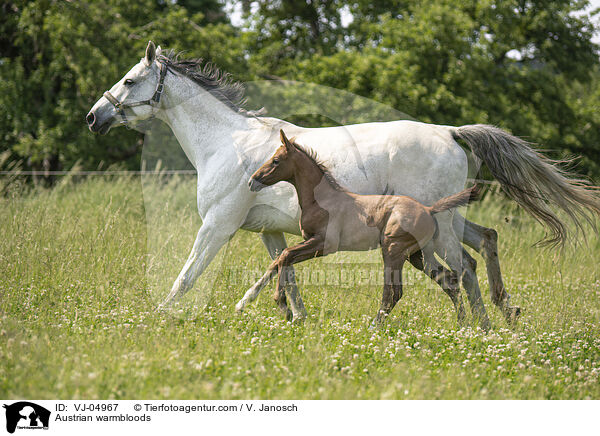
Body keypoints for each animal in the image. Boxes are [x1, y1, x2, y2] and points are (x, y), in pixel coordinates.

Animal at [239, 129, 478, 324]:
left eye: (276, 160)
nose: (252, 181)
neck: (321, 200)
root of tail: (429, 209)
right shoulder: (310, 241)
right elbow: (280, 260)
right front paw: (265, 303)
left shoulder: (324, 244)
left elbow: (285, 255)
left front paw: (282, 305)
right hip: (417, 255)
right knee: (448, 280)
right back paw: (462, 323)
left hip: (393, 251)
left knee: (394, 291)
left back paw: (375, 325)